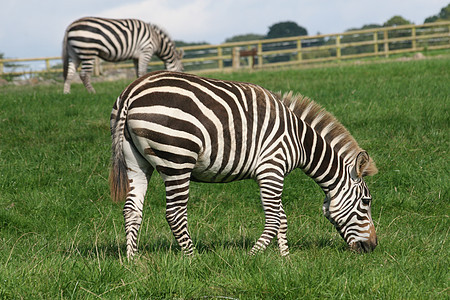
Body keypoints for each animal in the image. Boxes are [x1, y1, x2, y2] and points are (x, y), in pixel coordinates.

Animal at [110, 70, 380, 258]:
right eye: (366, 202)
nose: (373, 246)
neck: (301, 141)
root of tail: (131, 91)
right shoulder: (272, 168)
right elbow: (274, 219)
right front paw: (252, 257)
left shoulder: (272, 172)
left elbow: (282, 217)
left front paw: (286, 259)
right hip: (178, 159)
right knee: (174, 213)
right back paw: (193, 259)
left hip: (136, 161)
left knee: (132, 209)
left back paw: (133, 262)